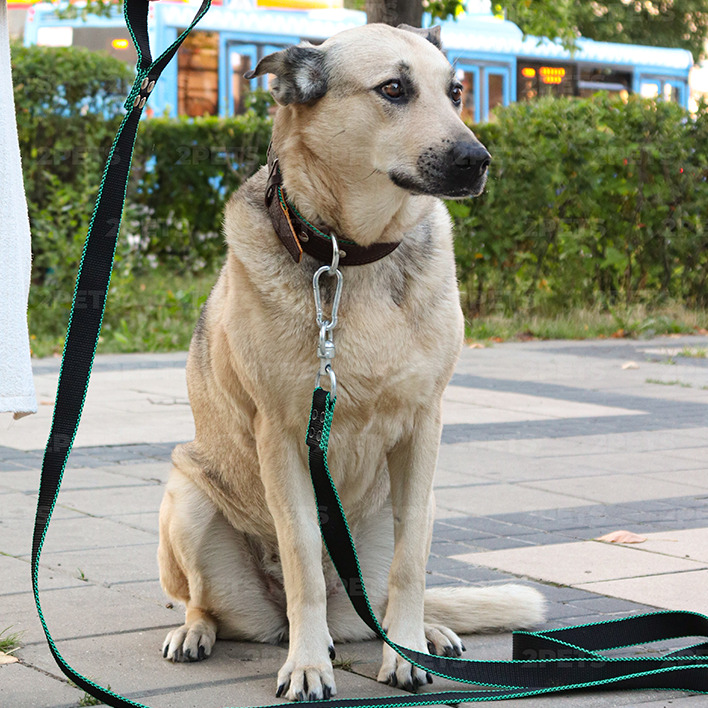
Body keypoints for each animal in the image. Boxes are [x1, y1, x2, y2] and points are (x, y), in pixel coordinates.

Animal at [158, 22, 544, 704]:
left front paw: (409, 651)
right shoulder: (283, 438)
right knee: (206, 602)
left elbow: (411, 565)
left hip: (413, 507)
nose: (477, 161)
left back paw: (424, 631)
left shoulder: (423, 428)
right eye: (392, 89)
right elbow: (304, 561)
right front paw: (309, 664)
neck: (350, 254)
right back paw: (199, 633)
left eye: (456, 91)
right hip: (187, 500)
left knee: (386, 593)